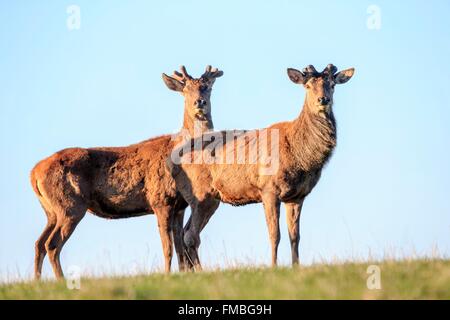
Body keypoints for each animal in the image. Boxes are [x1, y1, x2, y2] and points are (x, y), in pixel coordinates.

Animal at [29, 65, 223, 280]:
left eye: (207, 87)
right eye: (186, 90)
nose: (200, 102)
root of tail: (33, 173)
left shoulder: (179, 205)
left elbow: (180, 246)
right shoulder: (159, 199)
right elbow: (168, 247)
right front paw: (166, 274)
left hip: (51, 210)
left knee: (39, 243)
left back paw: (37, 280)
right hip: (70, 205)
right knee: (52, 244)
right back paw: (61, 280)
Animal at [169, 63, 356, 268]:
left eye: (332, 84)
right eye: (307, 86)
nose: (323, 99)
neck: (301, 158)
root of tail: (172, 161)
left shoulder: (297, 196)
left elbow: (295, 236)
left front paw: (296, 266)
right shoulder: (269, 189)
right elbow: (275, 235)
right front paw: (274, 266)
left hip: (207, 199)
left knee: (186, 233)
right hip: (201, 193)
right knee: (190, 235)